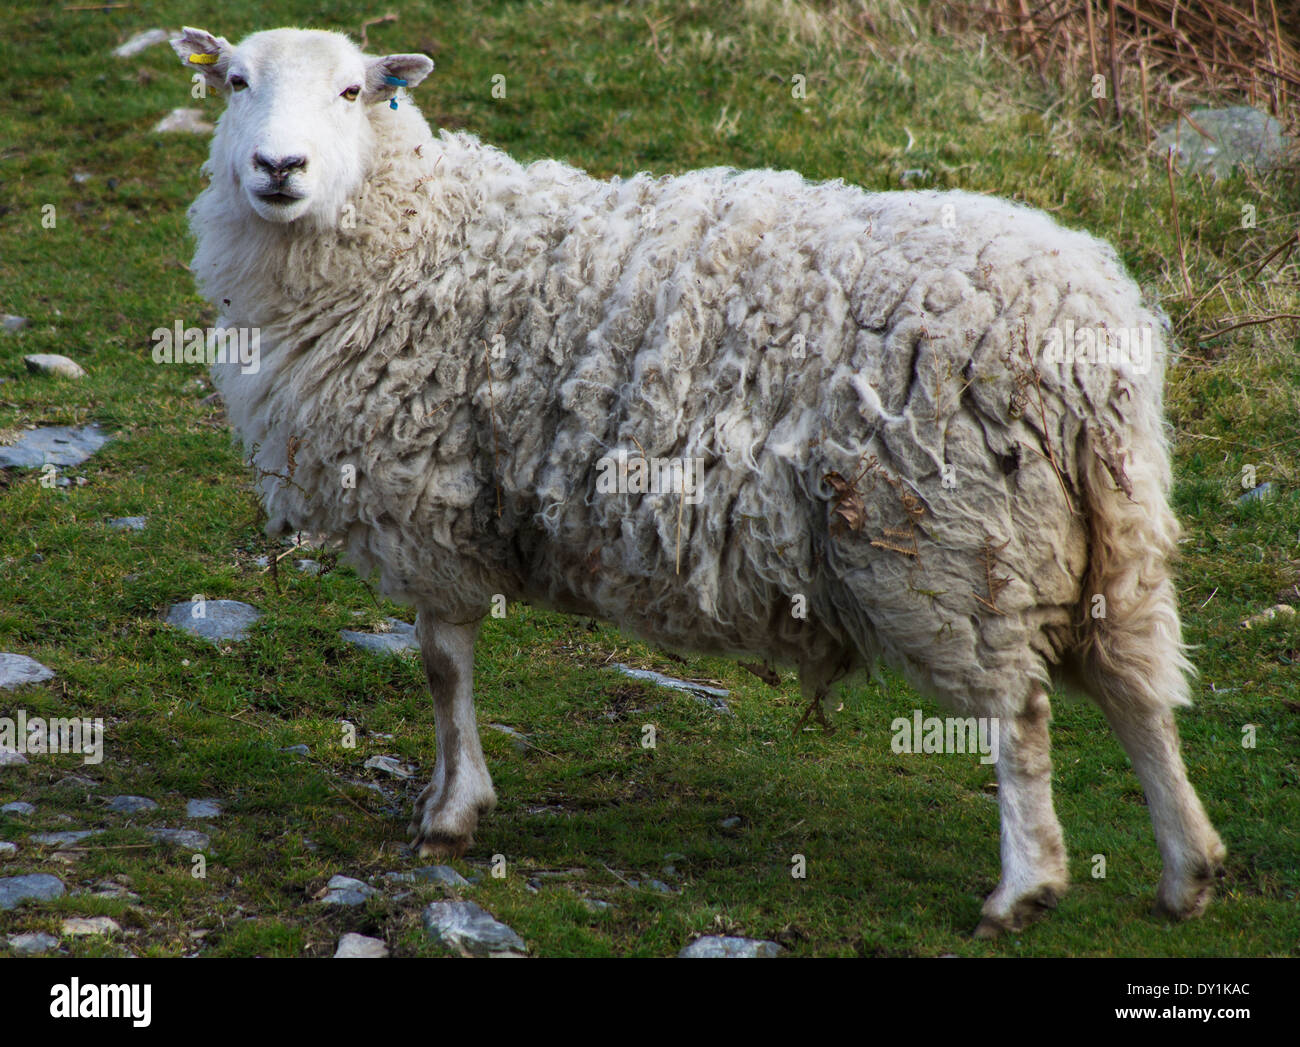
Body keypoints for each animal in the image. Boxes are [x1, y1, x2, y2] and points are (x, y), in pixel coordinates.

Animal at [175, 26, 1227, 941]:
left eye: (353, 91)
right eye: (235, 82)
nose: (278, 168)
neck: (413, 238)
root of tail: (1087, 325)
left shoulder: (425, 502)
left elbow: (442, 666)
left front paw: (450, 812)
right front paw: (452, 803)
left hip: (951, 540)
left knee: (1022, 716)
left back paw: (1023, 887)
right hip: (1109, 528)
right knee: (1138, 692)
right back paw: (1187, 872)